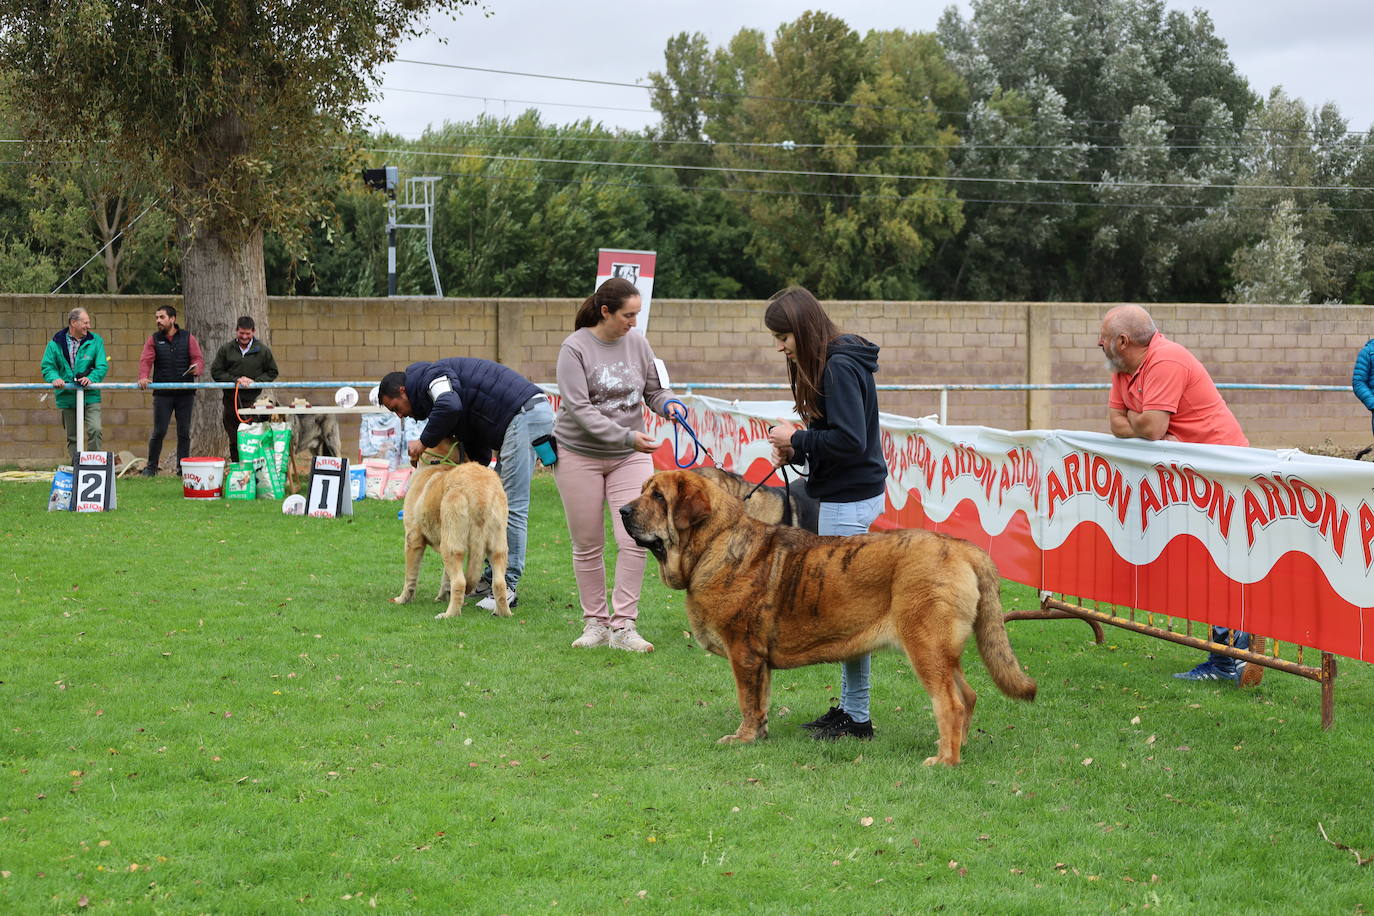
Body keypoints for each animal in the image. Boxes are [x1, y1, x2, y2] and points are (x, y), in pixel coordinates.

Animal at [618, 472, 1033, 769]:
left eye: (658, 497)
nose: (622, 511)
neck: (714, 543)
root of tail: (964, 547)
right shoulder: (759, 660)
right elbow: (761, 700)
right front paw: (759, 735)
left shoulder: (744, 653)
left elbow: (747, 700)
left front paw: (743, 738)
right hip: (942, 652)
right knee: (968, 695)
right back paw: (957, 746)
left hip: (925, 646)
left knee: (950, 703)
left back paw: (944, 760)